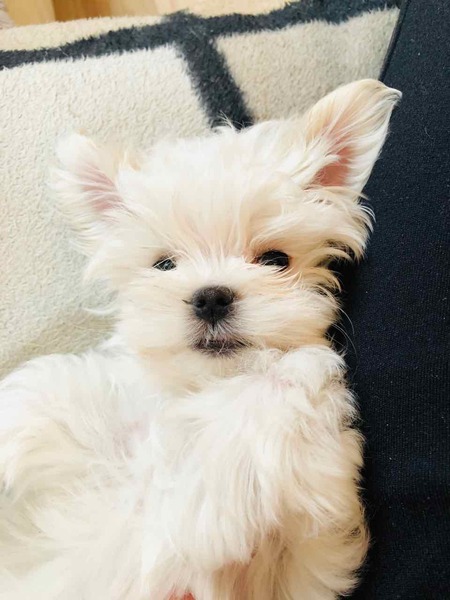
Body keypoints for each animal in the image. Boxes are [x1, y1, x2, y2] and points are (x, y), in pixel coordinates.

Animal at [0, 79, 400, 600]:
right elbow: (66, 394)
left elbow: (282, 384)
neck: (204, 386)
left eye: (276, 260)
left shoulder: (305, 549)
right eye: (165, 264)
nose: (211, 297)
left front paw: (200, 508)